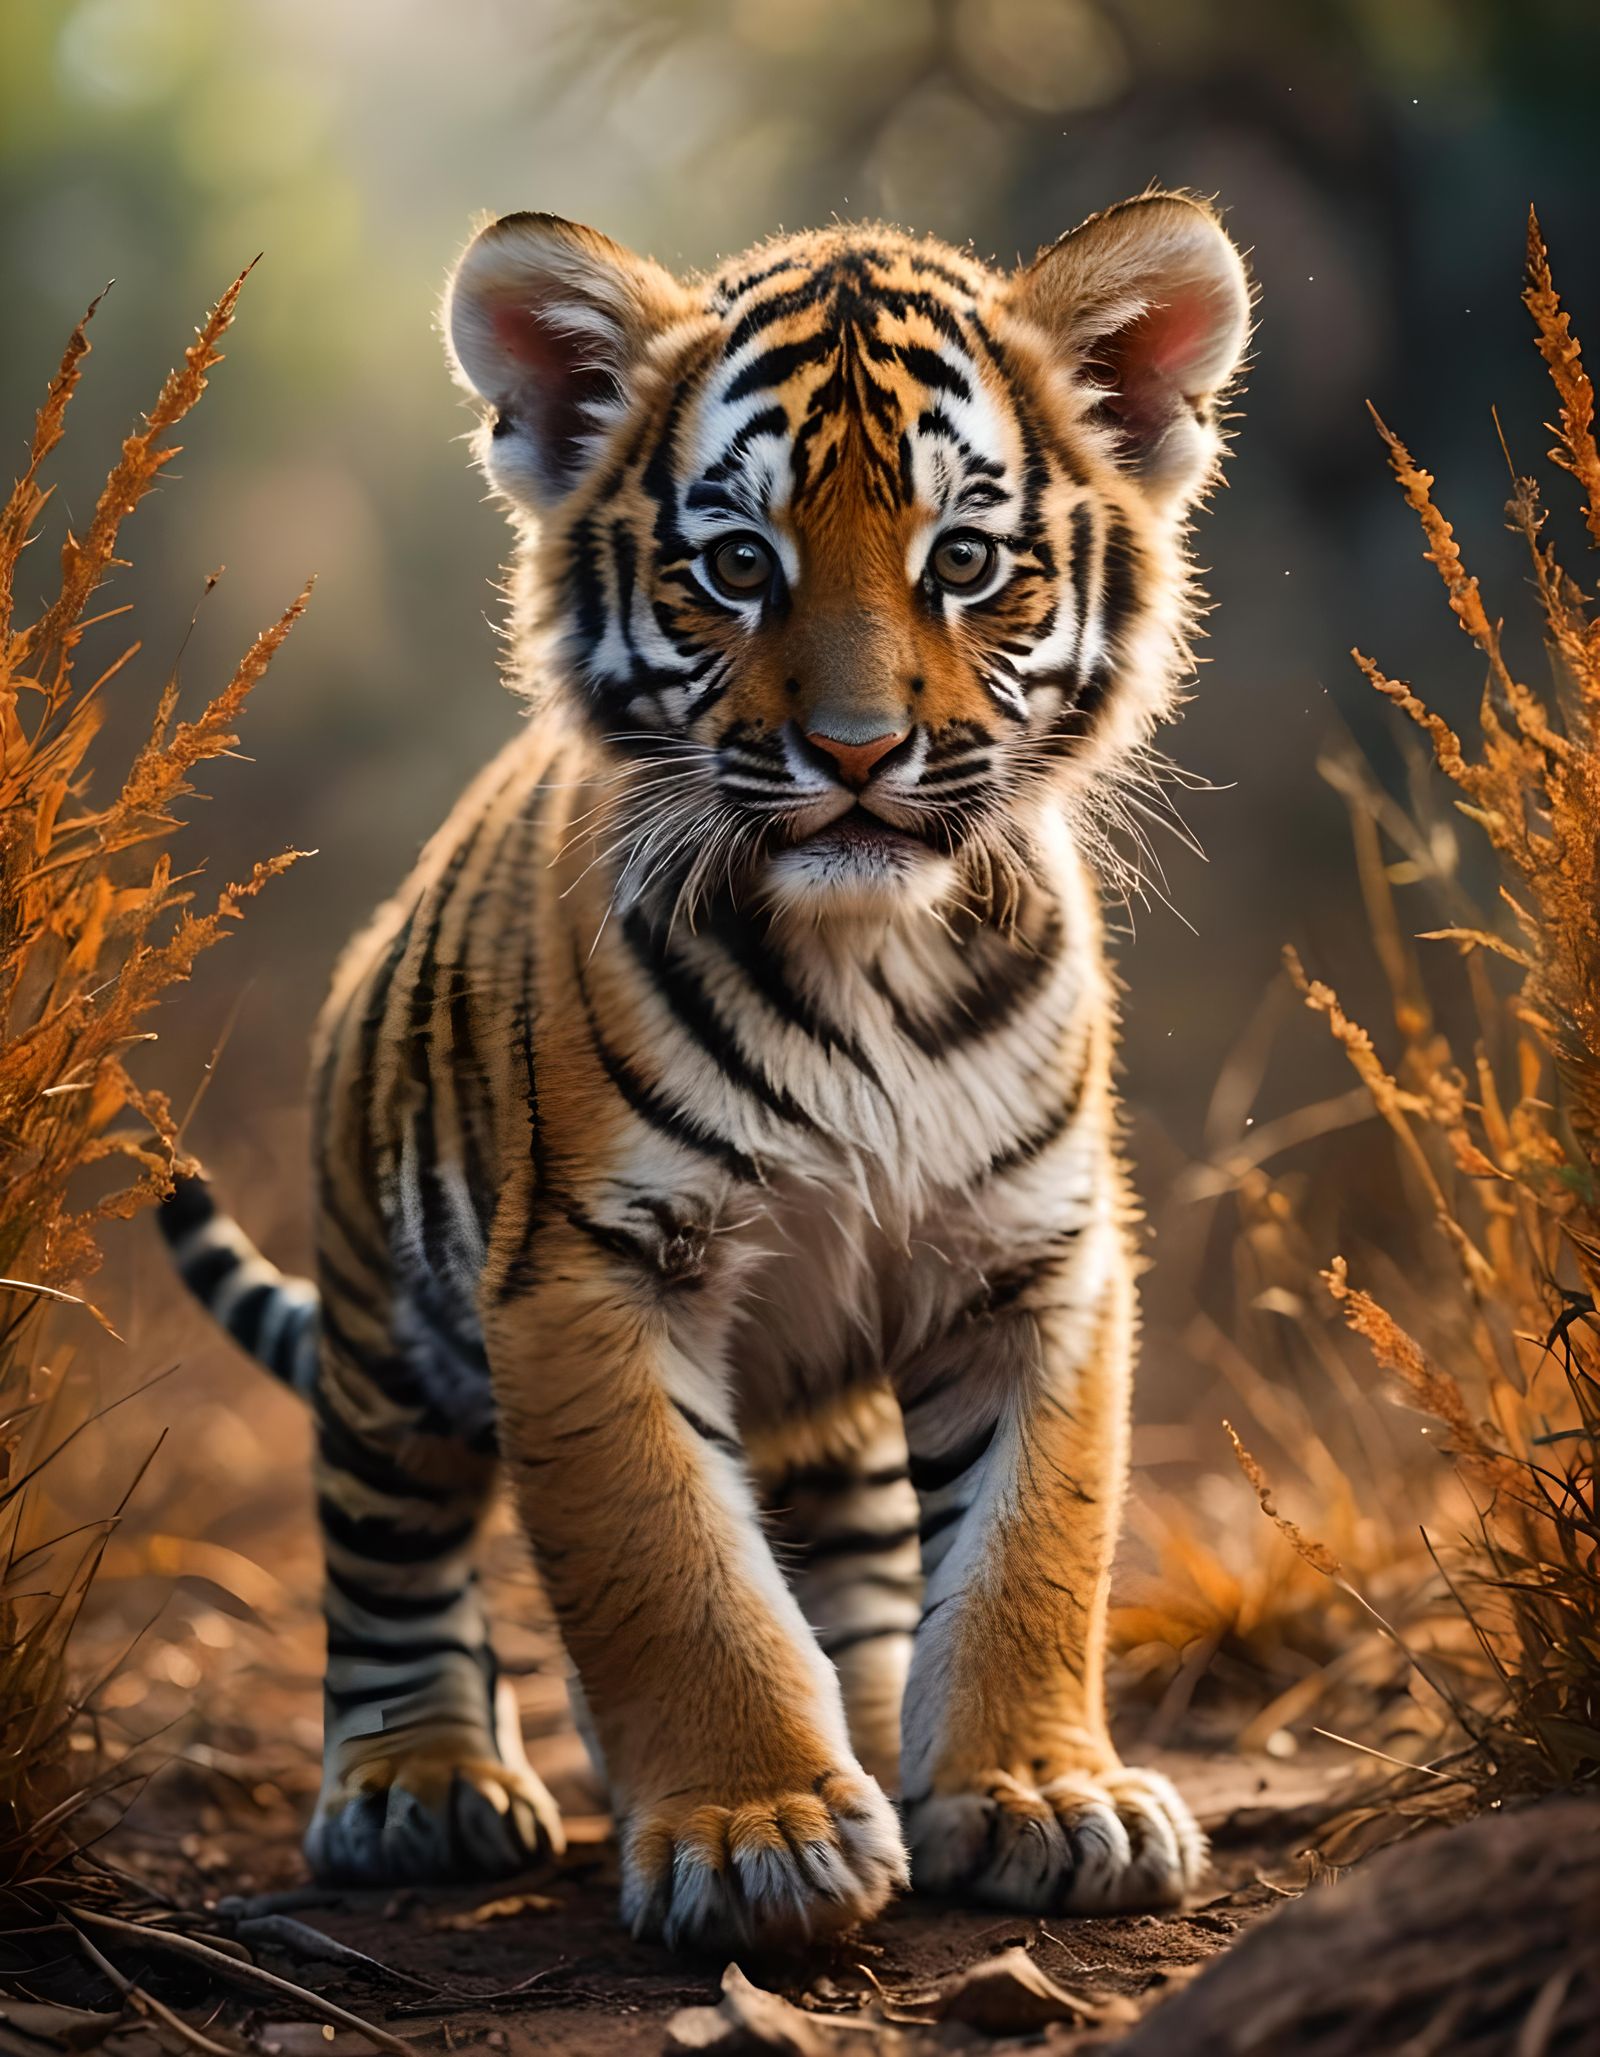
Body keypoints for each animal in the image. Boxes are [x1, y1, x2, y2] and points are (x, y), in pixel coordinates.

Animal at [159, 189, 1250, 1953]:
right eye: (739, 566)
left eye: (963, 562)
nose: (860, 753)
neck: (873, 961)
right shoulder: (587, 1270)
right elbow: (667, 1566)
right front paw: (754, 1837)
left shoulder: (1037, 1262)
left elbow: (1032, 1548)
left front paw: (1038, 1795)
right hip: (388, 1327)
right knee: (392, 1554)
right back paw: (420, 1787)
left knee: (855, 1557)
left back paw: (871, 1729)